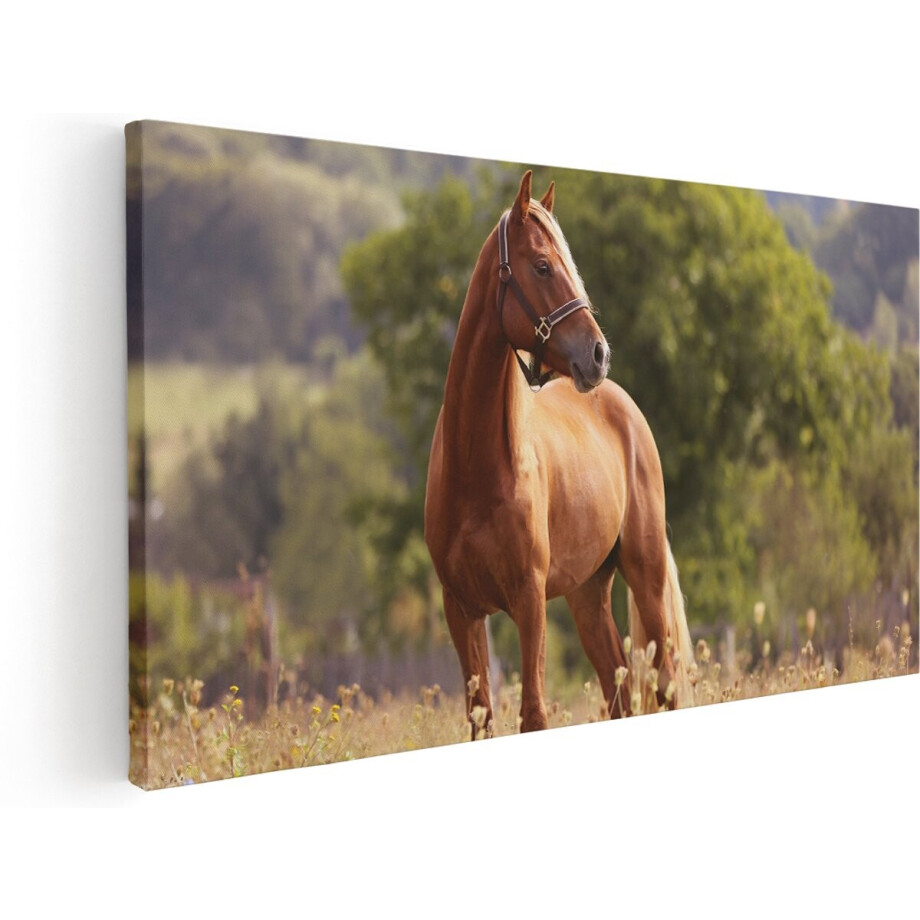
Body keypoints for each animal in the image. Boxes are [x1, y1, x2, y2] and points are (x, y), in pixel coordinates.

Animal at [424, 170, 694, 737]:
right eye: (543, 265)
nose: (598, 354)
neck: (477, 469)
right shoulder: (462, 610)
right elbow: (481, 719)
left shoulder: (529, 602)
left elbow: (534, 714)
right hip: (587, 594)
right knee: (619, 688)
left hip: (646, 576)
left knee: (663, 685)